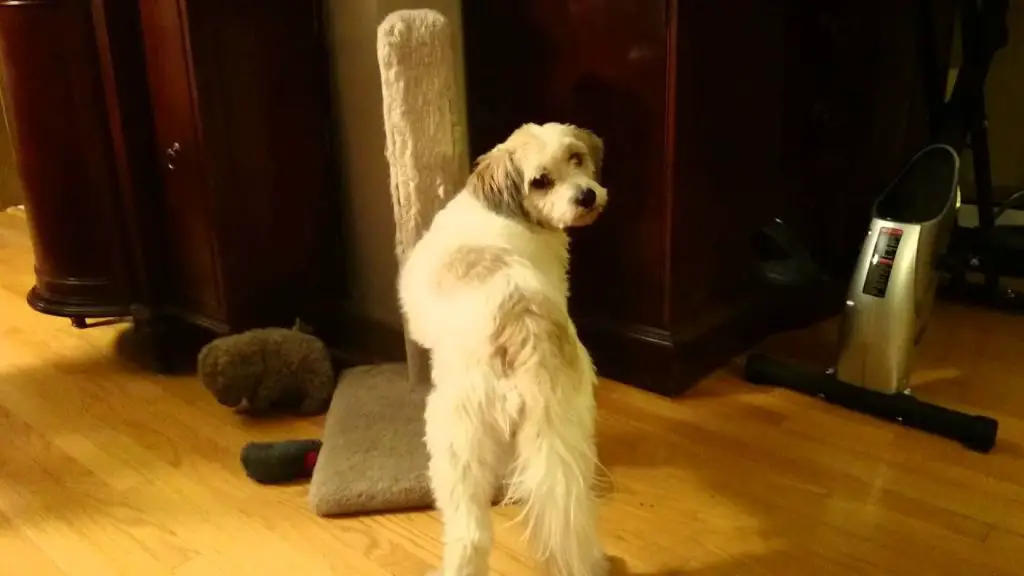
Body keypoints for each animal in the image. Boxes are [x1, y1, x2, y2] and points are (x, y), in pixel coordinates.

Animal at [397, 121, 606, 573]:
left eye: (576, 159)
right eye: (540, 181)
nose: (586, 196)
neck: (505, 210)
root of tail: (524, 325)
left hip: (456, 443)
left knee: (470, 535)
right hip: (567, 429)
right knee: (570, 514)